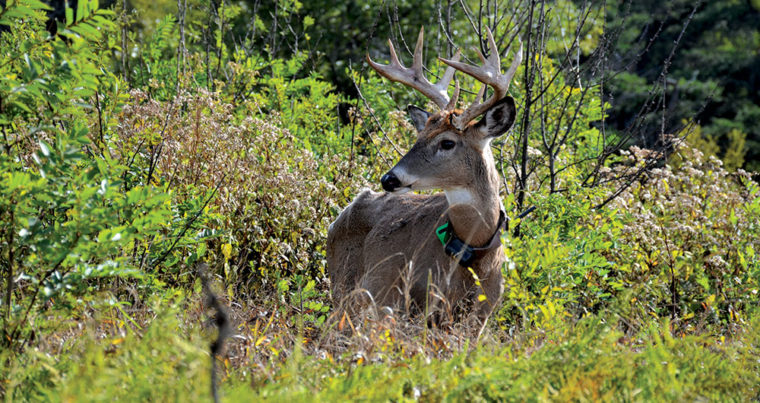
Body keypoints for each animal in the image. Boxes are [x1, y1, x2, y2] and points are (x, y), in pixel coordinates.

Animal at [326, 26, 524, 334]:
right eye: (418, 137)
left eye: (447, 143)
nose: (389, 179)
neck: (474, 256)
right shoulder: (415, 301)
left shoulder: (483, 313)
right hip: (344, 285)